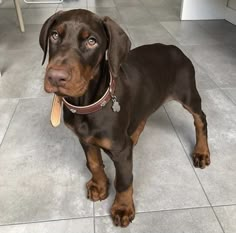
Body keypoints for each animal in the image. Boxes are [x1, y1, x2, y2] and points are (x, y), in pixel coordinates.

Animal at [39, 9, 210, 228]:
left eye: (92, 41)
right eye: (54, 35)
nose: (55, 77)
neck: (88, 103)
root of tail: (174, 48)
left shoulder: (120, 150)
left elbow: (124, 180)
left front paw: (122, 208)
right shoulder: (84, 138)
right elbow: (94, 163)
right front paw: (100, 186)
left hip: (188, 94)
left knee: (200, 118)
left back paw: (202, 152)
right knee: (142, 119)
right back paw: (134, 137)